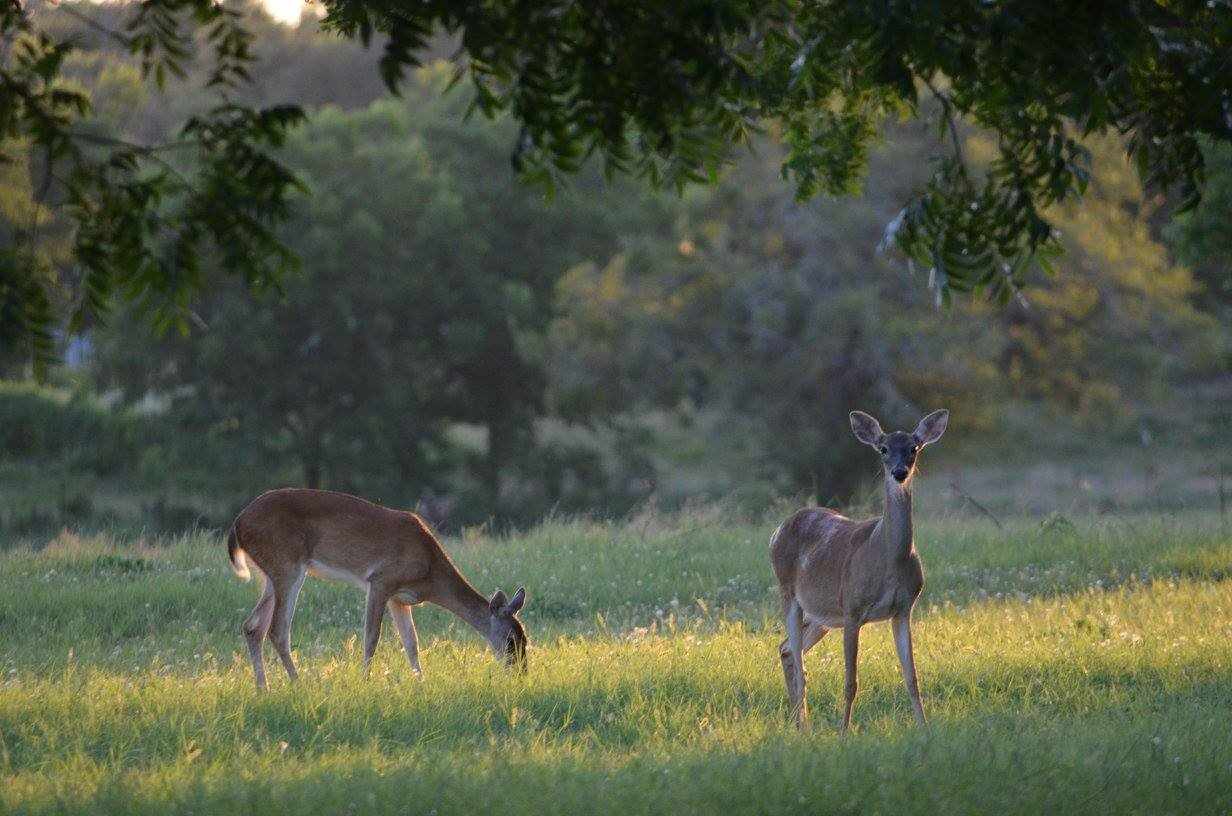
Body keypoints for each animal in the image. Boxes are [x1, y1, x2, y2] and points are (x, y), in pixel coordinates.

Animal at [229, 493, 527, 690]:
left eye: (526, 639)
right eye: (511, 639)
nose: (521, 672)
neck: (430, 572)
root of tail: (238, 523)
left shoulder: (400, 599)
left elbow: (412, 643)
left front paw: (421, 682)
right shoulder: (381, 580)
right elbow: (372, 637)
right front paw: (366, 681)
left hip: (271, 573)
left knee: (252, 626)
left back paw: (264, 688)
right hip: (288, 564)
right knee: (277, 628)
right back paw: (298, 683)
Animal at [768, 411, 951, 729]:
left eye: (914, 448)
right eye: (883, 449)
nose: (900, 472)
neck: (888, 560)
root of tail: (777, 531)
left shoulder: (903, 609)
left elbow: (912, 678)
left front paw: (925, 728)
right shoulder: (853, 609)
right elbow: (851, 682)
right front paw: (844, 732)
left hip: (824, 615)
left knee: (787, 649)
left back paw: (799, 723)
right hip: (789, 593)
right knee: (797, 660)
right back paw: (804, 727)